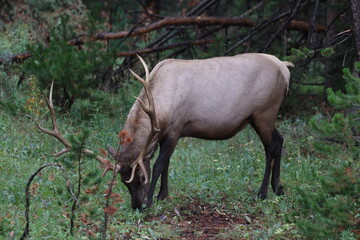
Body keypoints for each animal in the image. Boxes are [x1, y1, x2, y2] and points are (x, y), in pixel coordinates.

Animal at [38, 53, 294, 209]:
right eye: (123, 181)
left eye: (141, 177)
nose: (137, 205)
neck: (161, 103)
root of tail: (285, 68)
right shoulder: (164, 134)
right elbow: (168, 163)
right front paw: (163, 195)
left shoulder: (175, 129)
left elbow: (161, 164)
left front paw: (152, 199)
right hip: (261, 117)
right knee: (280, 140)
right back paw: (278, 188)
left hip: (264, 112)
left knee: (271, 146)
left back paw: (262, 192)